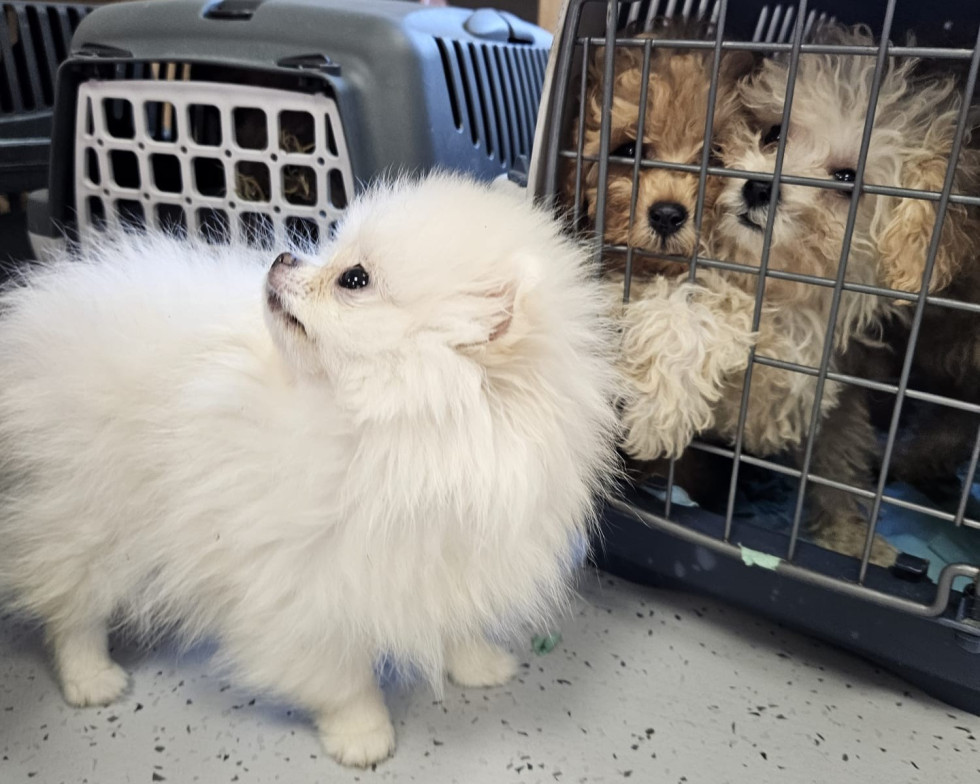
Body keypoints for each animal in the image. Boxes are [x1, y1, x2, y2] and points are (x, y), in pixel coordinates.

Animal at [0, 172, 616, 764]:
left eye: (355, 279)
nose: (283, 258)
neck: (393, 439)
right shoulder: (300, 583)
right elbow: (340, 677)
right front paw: (362, 735)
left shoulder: (451, 554)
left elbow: (454, 617)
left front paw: (477, 663)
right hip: (86, 516)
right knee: (71, 610)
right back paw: (91, 677)